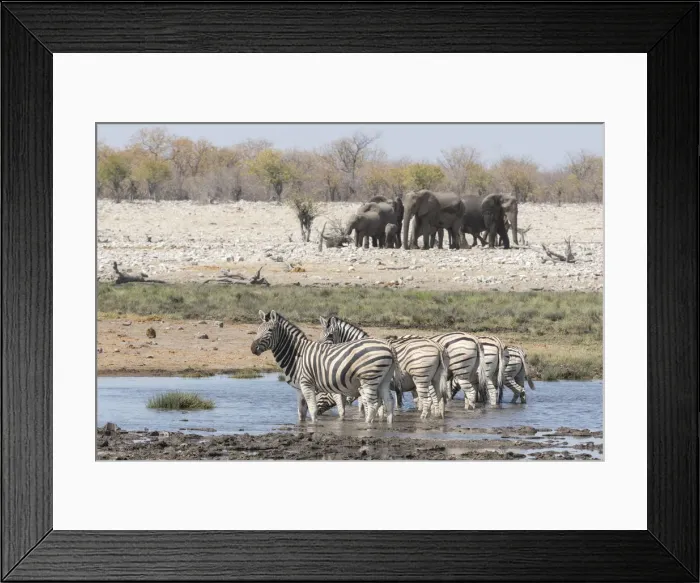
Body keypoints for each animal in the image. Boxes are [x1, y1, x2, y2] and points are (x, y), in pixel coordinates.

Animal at [251, 310, 396, 423]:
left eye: (270, 330)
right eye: (257, 330)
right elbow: (301, 413)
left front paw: (314, 427)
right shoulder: (299, 389)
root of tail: (388, 345)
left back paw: (367, 426)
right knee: (389, 402)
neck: (297, 355)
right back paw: (388, 427)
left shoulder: (307, 384)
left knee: (373, 404)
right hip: (383, 379)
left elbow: (313, 410)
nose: (252, 348)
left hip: (369, 379)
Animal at [318, 316, 450, 419]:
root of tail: (437, 346)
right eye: (321, 335)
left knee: (430, 399)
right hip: (436, 377)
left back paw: (425, 418)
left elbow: (366, 402)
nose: (322, 350)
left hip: (422, 376)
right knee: (440, 398)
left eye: (330, 335)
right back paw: (439, 417)